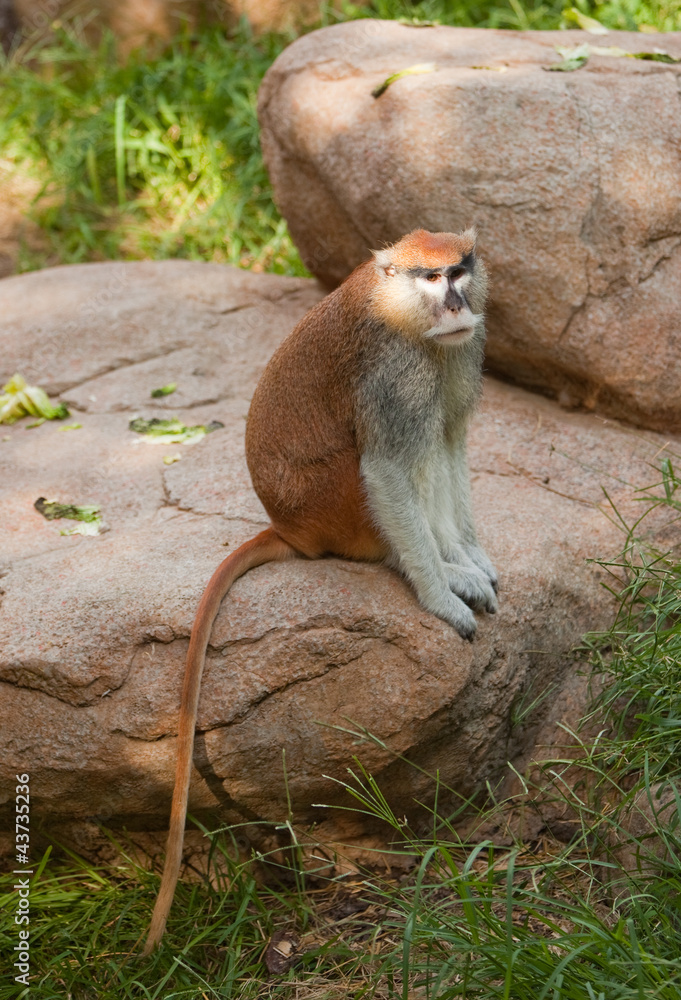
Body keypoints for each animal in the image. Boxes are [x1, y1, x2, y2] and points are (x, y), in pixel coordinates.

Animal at [142, 228, 498, 955]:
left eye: (459, 270)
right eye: (429, 278)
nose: (453, 302)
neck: (402, 316)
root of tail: (291, 527)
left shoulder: (455, 354)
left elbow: (450, 441)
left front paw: (468, 557)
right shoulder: (392, 376)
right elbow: (390, 464)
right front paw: (442, 591)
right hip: (332, 501)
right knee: (386, 465)